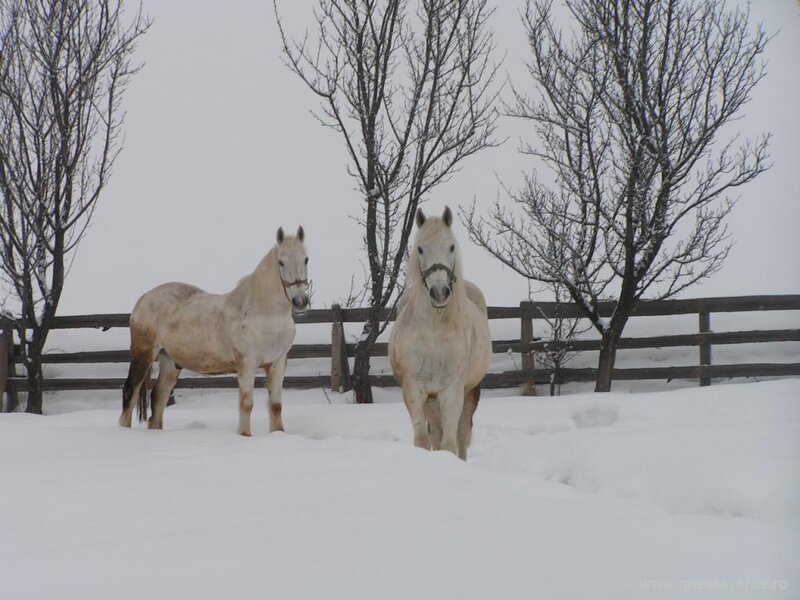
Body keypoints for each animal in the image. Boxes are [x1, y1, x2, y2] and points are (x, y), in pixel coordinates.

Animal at [118, 226, 309, 436]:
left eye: (306, 259)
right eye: (281, 262)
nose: (300, 301)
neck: (265, 315)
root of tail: (143, 299)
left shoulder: (277, 363)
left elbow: (276, 406)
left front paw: (278, 435)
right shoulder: (247, 365)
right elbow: (246, 404)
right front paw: (245, 435)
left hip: (169, 363)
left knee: (158, 398)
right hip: (143, 354)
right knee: (130, 392)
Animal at [389, 207, 492, 460]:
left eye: (451, 247)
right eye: (420, 248)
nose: (439, 293)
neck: (433, 332)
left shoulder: (452, 391)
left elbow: (450, 443)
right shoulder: (415, 390)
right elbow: (423, 441)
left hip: (470, 392)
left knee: (462, 432)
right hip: (432, 400)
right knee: (436, 430)